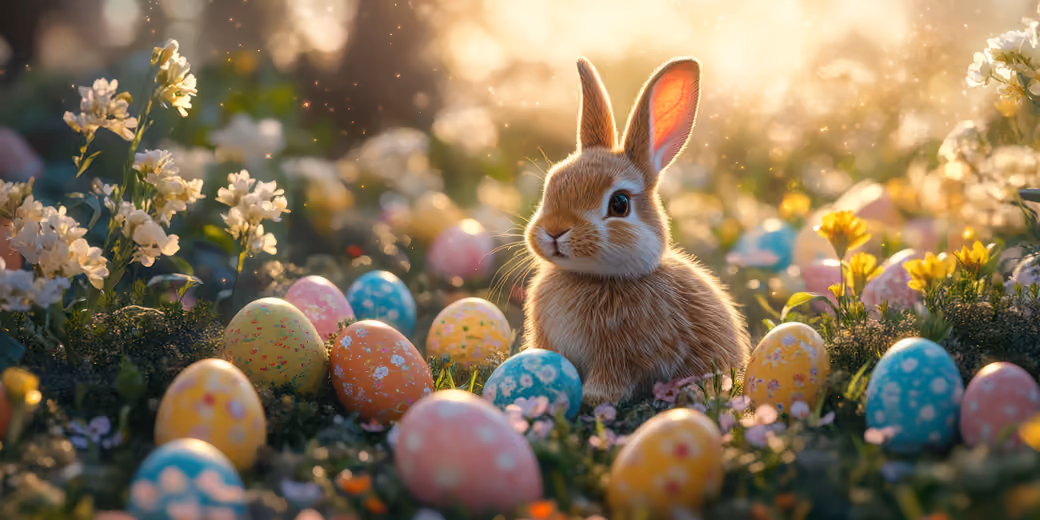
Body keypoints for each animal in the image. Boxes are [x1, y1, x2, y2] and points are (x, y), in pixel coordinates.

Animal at [522, 56, 751, 405]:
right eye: (551, 183)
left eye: (619, 204)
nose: (554, 231)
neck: (590, 277)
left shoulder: (623, 356)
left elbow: (612, 378)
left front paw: (594, 398)